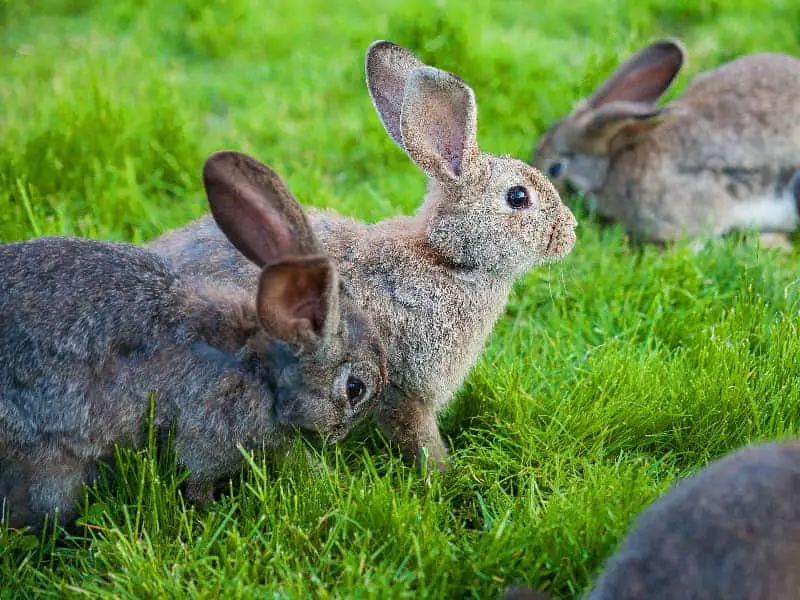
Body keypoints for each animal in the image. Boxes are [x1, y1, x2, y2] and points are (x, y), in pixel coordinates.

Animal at [0, 151, 388, 528]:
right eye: (355, 388)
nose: (337, 435)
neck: (262, 371)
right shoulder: (206, 439)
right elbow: (197, 478)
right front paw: (212, 513)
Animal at [148, 41, 576, 468]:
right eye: (518, 197)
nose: (570, 232)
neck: (445, 256)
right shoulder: (401, 387)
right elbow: (417, 434)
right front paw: (444, 472)